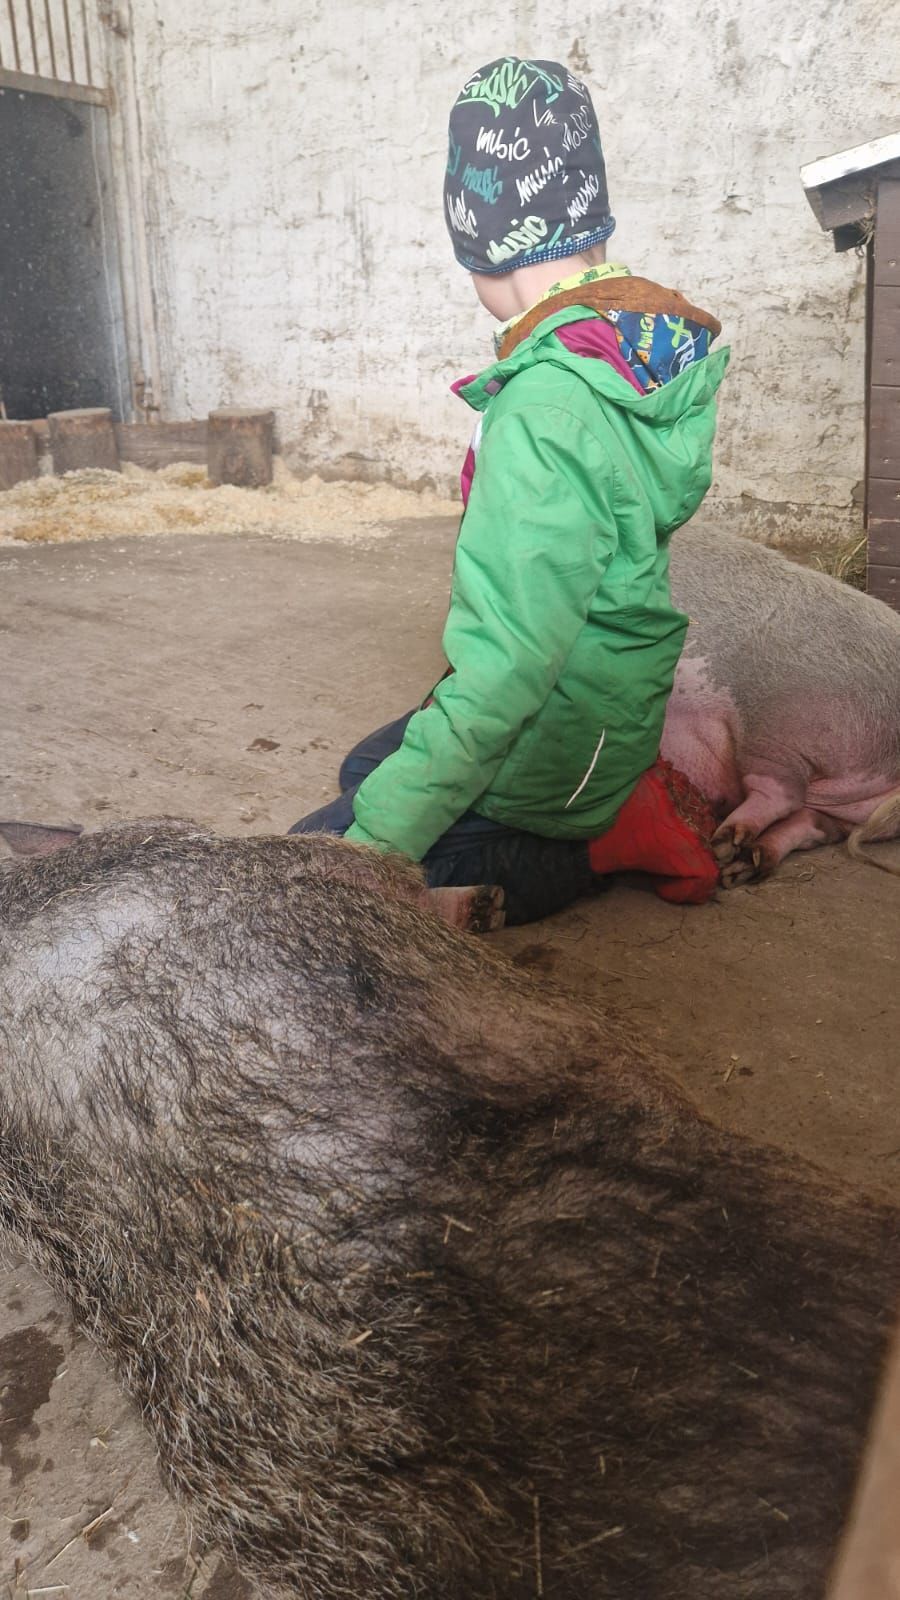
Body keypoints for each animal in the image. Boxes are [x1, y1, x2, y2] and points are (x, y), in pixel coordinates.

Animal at [666, 528, 900, 883]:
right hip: (849, 804)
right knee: (815, 823)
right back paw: (746, 862)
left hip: (782, 721)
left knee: (782, 792)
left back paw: (724, 845)